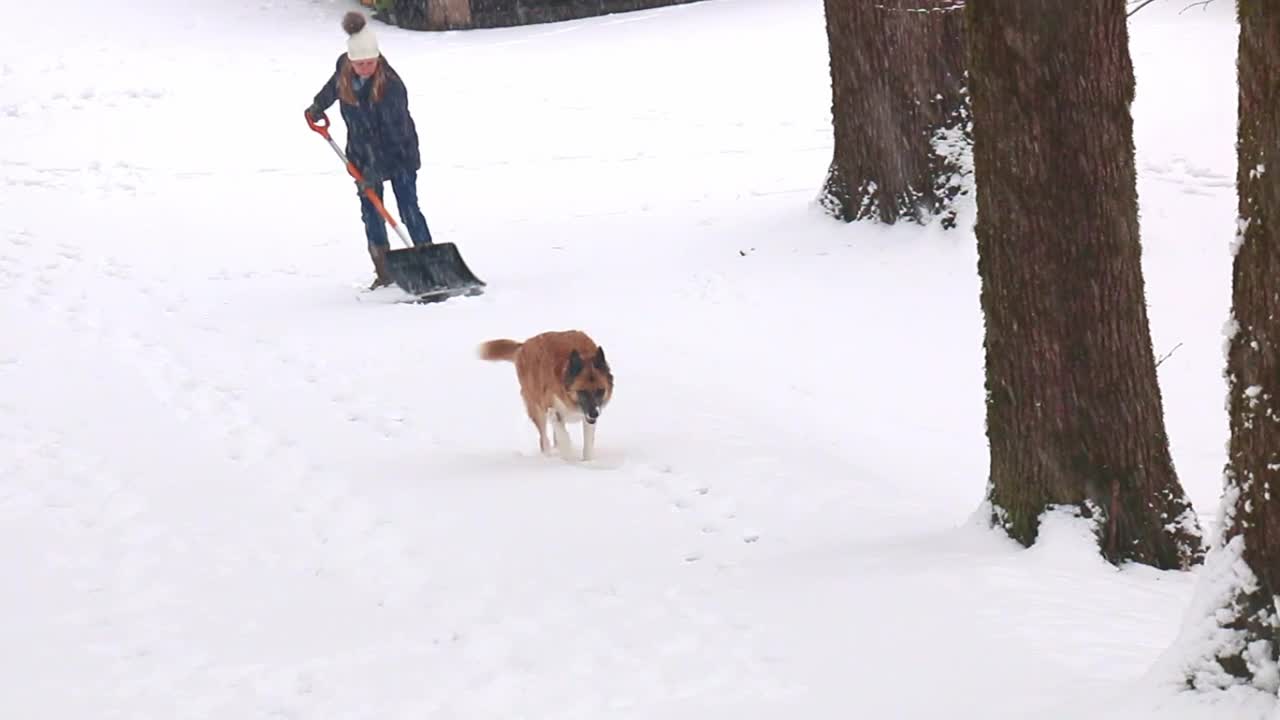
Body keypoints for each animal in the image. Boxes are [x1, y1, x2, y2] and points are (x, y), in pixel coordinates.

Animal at [478, 330, 611, 458]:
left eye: (600, 391)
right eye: (582, 392)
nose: (594, 413)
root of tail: (523, 346)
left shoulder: (587, 419)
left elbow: (587, 445)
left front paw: (587, 462)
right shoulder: (552, 410)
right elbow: (563, 436)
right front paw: (570, 460)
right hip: (536, 409)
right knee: (544, 440)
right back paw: (548, 456)